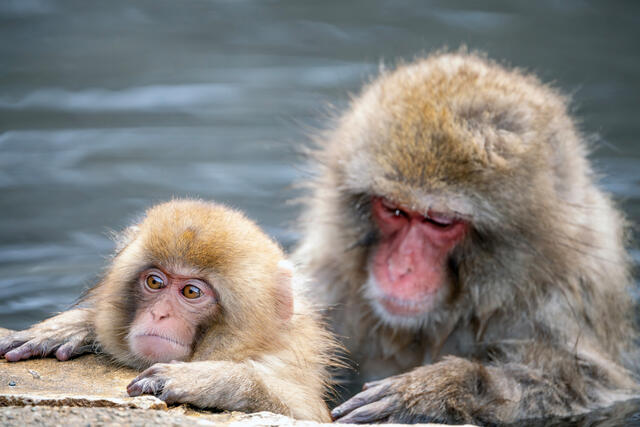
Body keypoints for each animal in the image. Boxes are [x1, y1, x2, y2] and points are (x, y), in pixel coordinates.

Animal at [0, 199, 336, 422]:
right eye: (155, 281)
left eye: (191, 292)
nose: (159, 314)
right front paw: (73, 326)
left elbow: (308, 414)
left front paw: (214, 380)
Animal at [293, 51, 639, 424]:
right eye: (394, 210)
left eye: (439, 222)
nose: (400, 269)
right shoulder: (327, 280)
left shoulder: (572, 290)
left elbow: (590, 385)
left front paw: (436, 391)